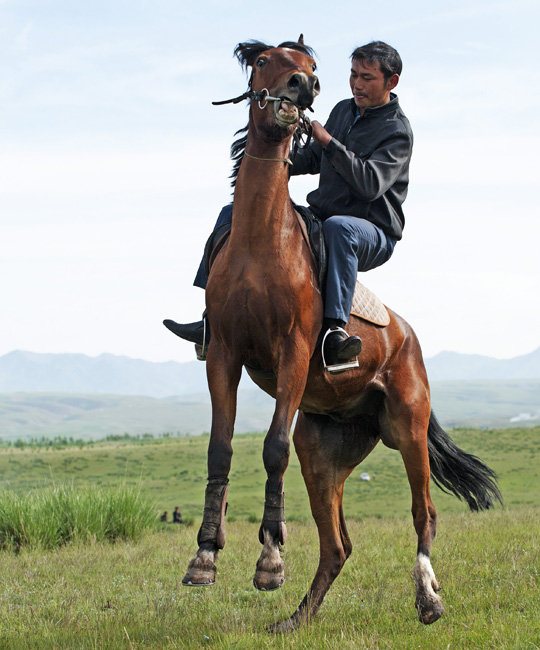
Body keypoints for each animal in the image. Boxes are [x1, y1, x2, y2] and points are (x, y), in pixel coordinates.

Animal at [182, 36, 502, 632]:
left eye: (312, 67)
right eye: (264, 61)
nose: (302, 88)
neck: (261, 242)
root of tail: (407, 338)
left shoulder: (291, 353)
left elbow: (271, 448)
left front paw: (269, 562)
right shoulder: (224, 355)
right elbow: (220, 448)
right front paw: (205, 557)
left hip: (408, 431)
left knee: (424, 514)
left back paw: (428, 598)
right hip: (323, 452)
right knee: (337, 546)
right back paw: (296, 619)